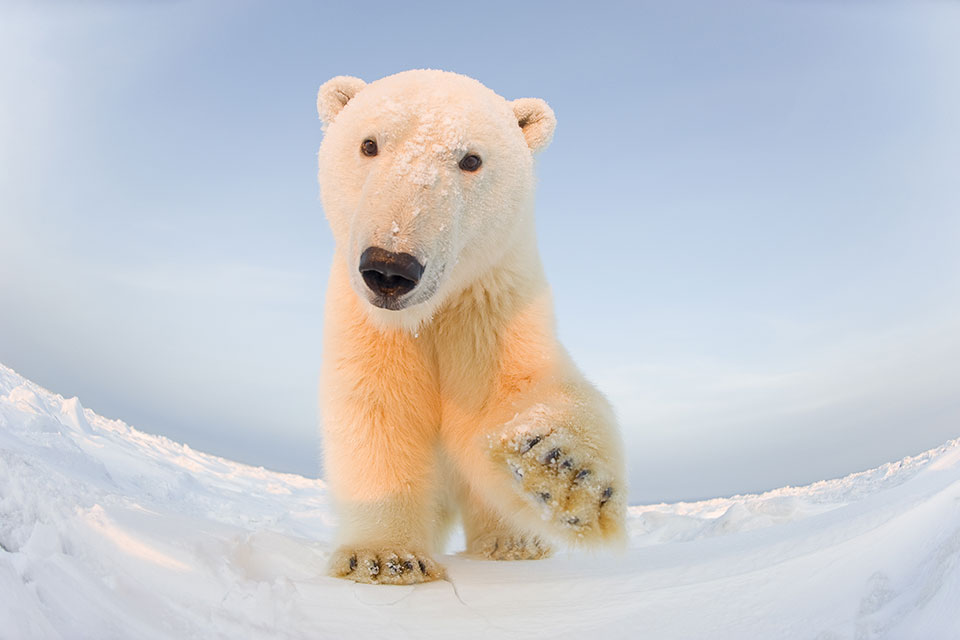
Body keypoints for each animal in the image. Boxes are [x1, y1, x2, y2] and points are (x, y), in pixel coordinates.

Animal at [318, 70, 628, 584]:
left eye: (471, 160)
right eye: (369, 144)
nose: (390, 268)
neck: (431, 314)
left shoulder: (492, 308)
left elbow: (510, 395)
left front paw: (562, 469)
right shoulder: (370, 326)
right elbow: (379, 413)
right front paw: (385, 558)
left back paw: (514, 543)